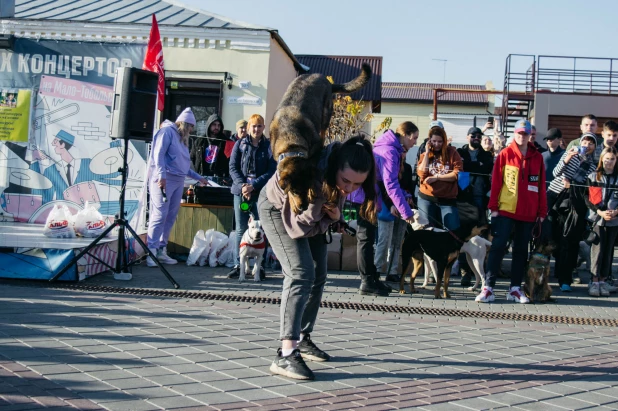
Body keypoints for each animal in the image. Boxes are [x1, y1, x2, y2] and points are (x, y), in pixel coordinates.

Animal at [270, 63, 370, 216]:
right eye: (295, 191)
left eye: (305, 188)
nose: (304, 207)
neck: (290, 142)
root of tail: (325, 79)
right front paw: (292, 203)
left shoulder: (314, 151)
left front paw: (311, 191)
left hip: (326, 114)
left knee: (323, 131)